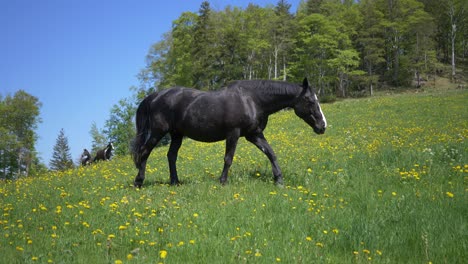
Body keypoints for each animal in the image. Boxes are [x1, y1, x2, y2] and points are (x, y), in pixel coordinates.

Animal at [132, 78, 328, 188]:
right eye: (310, 100)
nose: (322, 126)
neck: (252, 99)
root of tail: (155, 96)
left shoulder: (254, 135)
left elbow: (271, 154)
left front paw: (279, 180)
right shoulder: (233, 134)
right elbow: (228, 159)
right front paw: (223, 181)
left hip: (176, 134)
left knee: (171, 156)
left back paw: (175, 182)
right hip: (157, 132)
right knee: (144, 153)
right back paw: (139, 182)